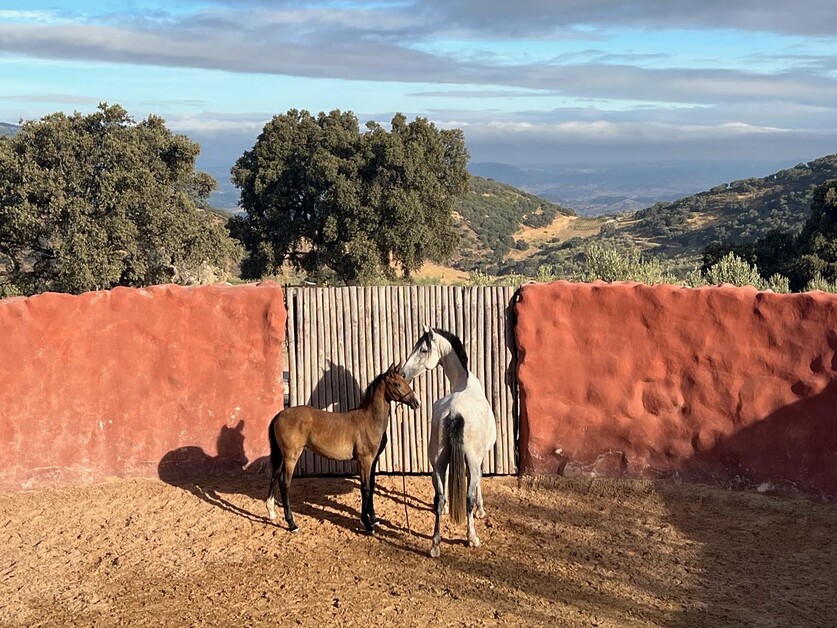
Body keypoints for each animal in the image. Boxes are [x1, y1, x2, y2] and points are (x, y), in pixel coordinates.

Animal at [264, 364, 418, 536]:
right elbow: (365, 488)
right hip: (291, 457)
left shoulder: (373, 461)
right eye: (397, 383)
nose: (416, 402)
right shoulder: (364, 461)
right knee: (285, 483)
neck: (369, 420)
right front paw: (367, 525)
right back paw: (292, 524)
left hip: (281, 456)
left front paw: (373, 519)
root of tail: (279, 415)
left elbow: (371, 486)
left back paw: (271, 513)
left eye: (405, 380)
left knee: (274, 476)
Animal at [400, 326, 494, 556]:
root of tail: (454, 412)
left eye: (423, 349)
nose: (403, 374)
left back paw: (435, 544)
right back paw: (472, 538)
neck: (465, 381)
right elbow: (478, 485)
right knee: (468, 497)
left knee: (439, 498)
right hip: (470, 461)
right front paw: (481, 510)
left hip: (437, 463)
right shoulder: (479, 459)